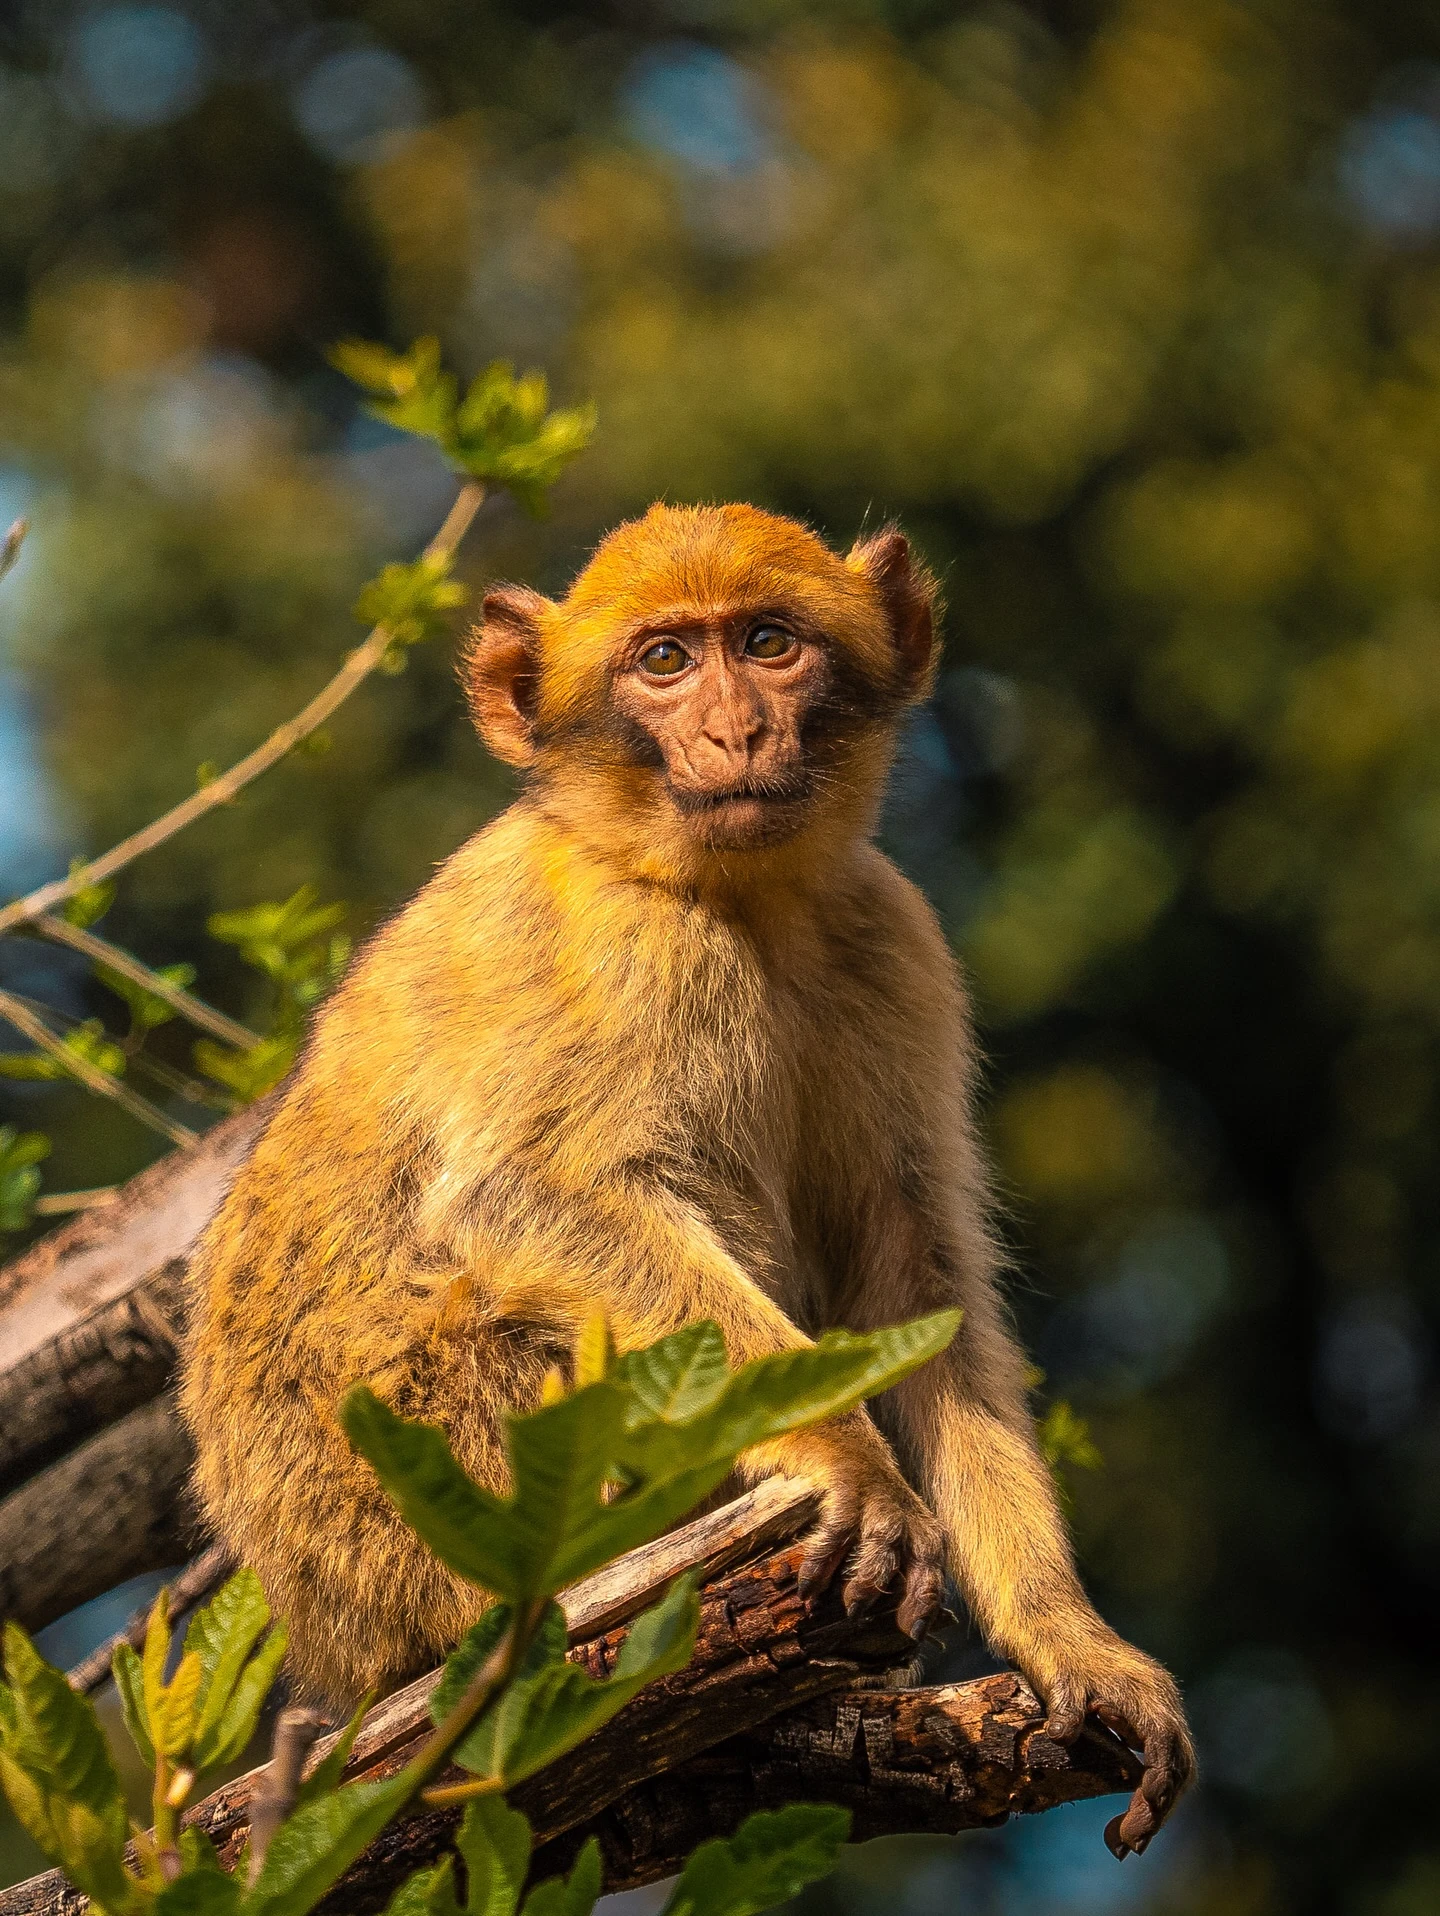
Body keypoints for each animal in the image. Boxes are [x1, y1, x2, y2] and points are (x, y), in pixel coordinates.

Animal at [179, 502, 1194, 1858]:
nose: (736, 729)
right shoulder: (631, 940)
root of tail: (344, 1652)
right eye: (664, 660)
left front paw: (1067, 1637)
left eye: (767, 643)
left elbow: (917, 1285)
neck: (743, 900)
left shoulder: (894, 937)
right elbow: (523, 1196)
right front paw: (852, 1464)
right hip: (442, 1520)